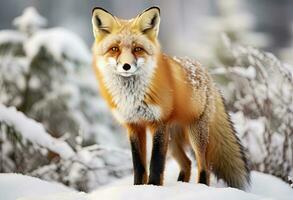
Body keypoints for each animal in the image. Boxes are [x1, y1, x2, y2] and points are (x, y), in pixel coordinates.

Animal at [90, 5, 249, 188]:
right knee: (187, 163)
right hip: (172, 140)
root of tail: (207, 74)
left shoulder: (158, 123)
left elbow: (156, 164)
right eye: (114, 49)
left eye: (138, 49)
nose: (126, 66)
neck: (133, 96)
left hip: (194, 133)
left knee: (204, 165)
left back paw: (200, 186)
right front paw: (138, 188)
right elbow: (139, 166)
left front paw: (153, 187)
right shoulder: (134, 125)